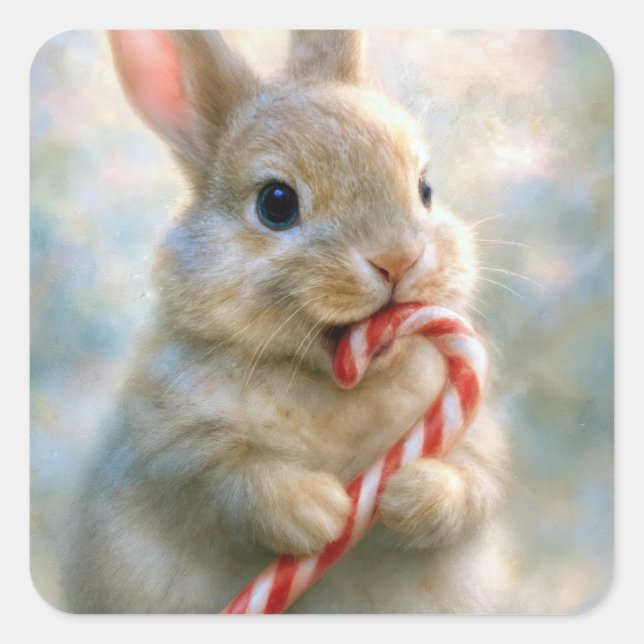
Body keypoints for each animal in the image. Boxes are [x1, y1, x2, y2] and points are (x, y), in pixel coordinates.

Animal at [60, 30, 513, 614]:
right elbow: (229, 480)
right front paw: (319, 512)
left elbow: (477, 484)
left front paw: (408, 495)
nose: (398, 259)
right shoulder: (169, 446)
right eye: (276, 203)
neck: (334, 384)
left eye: (425, 189)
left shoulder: (475, 435)